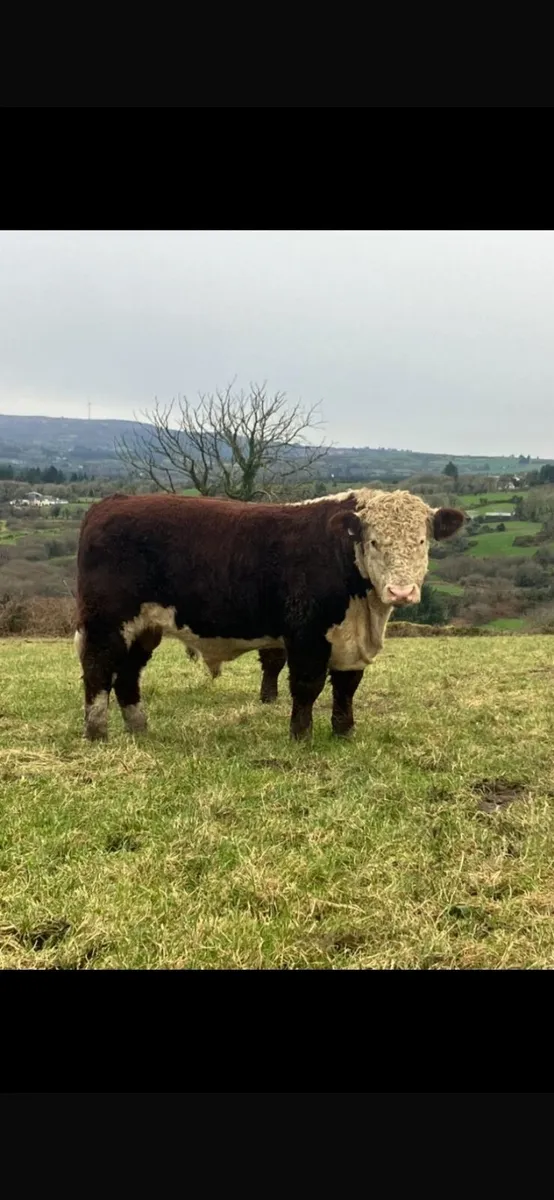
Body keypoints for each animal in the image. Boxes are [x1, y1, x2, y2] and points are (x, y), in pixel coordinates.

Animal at [74, 489, 464, 743]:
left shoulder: (350, 641)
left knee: (127, 675)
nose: (401, 591)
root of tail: (114, 502)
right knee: (98, 668)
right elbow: (307, 685)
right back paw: (97, 732)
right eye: (374, 542)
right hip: (106, 622)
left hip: (144, 628)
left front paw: (344, 732)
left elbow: (346, 686)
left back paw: (139, 728)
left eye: (421, 541)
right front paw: (301, 736)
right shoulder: (307, 633)